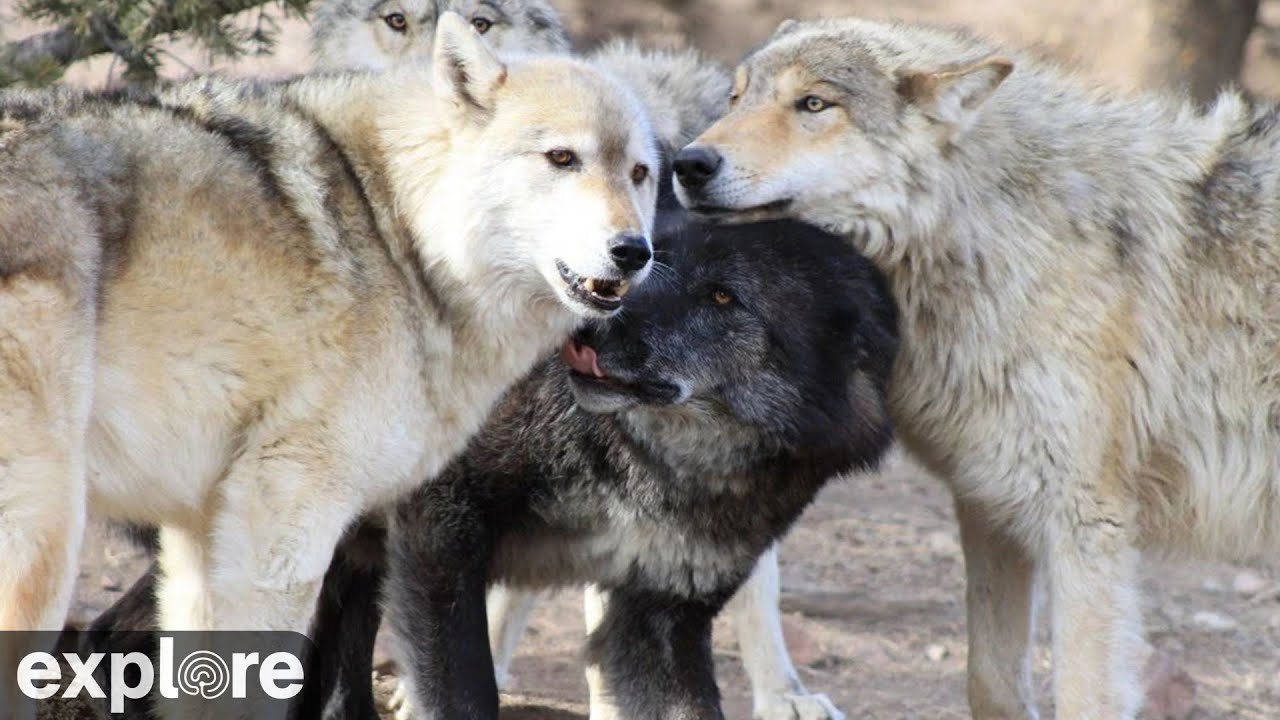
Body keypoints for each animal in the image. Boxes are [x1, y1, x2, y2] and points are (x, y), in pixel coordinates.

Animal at [0, 13, 657, 719]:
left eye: (640, 173)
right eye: (563, 158)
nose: (634, 251)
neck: (401, 235)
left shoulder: (202, 527)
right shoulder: (288, 516)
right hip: (48, 539)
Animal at [674, 15, 1280, 720]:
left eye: (814, 104)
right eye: (736, 97)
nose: (689, 163)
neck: (987, 236)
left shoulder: (1085, 522)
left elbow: (1082, 693)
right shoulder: (991, 503)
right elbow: (989, 679)